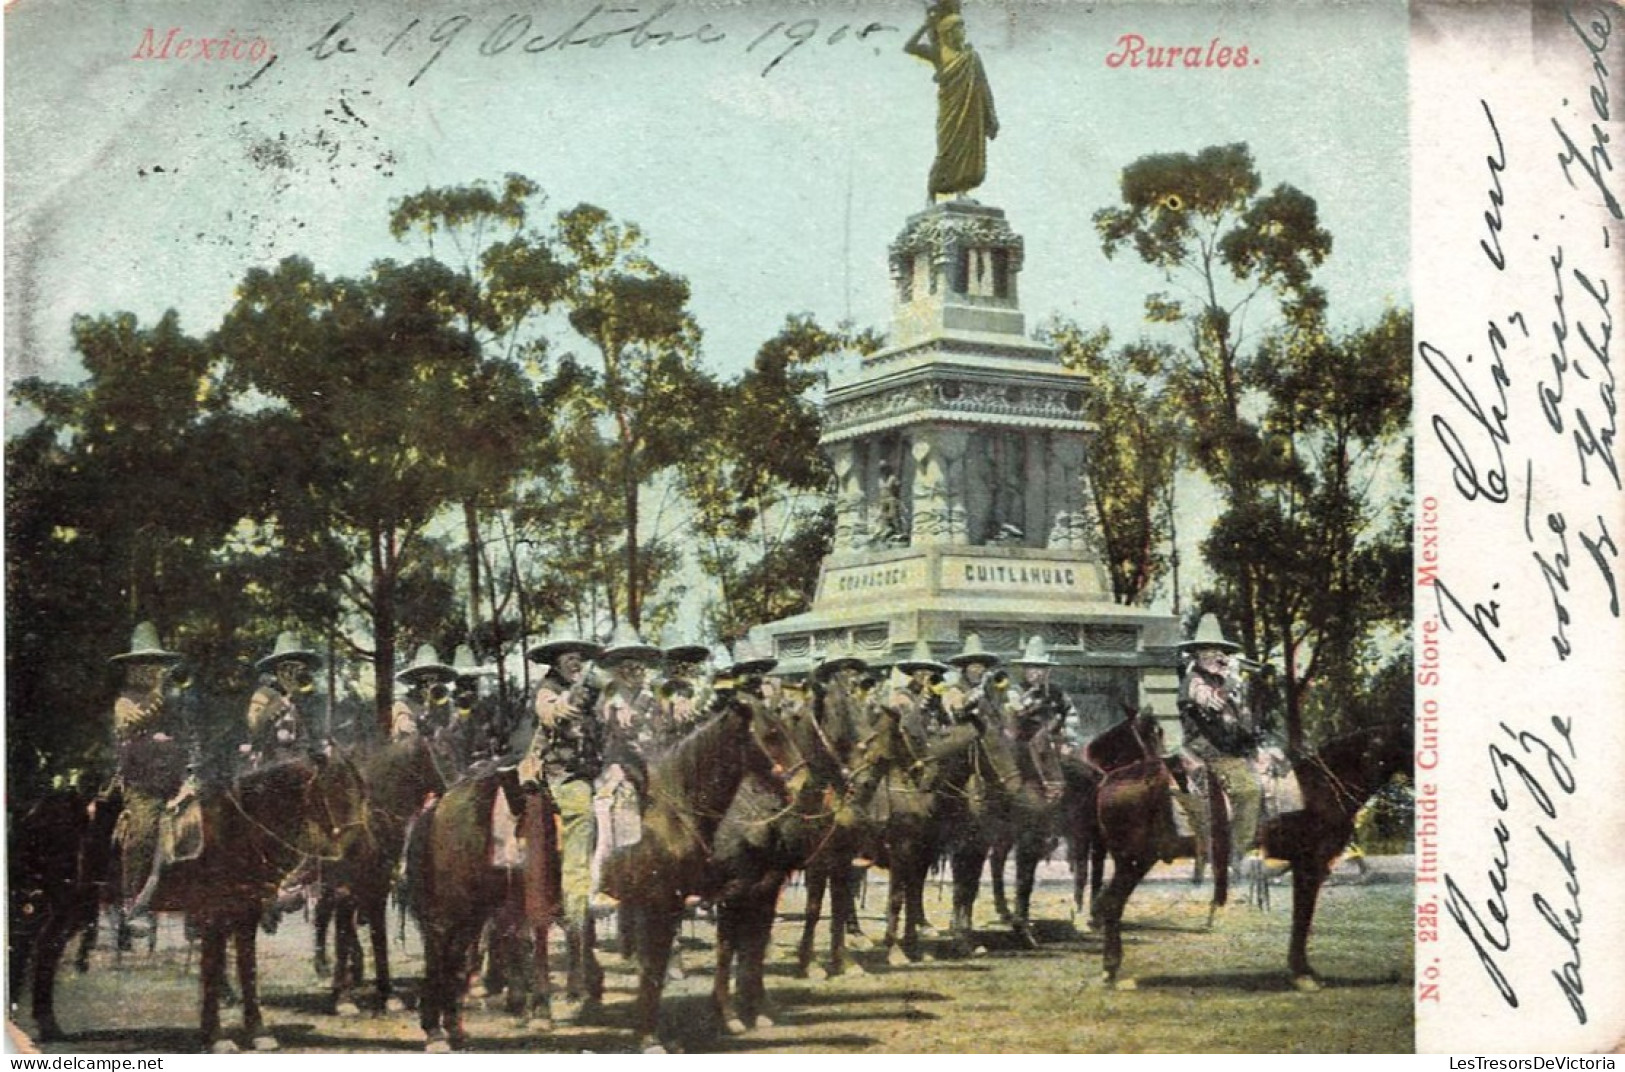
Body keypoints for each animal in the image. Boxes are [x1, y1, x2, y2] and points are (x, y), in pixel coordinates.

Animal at [1092, 721, 1410, 987]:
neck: (1321, 785)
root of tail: (1107, 781)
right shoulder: (1309, 864)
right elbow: (1302, 917)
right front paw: (1302, 973)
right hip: (1134, 861)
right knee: (1111, 904)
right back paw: (1110, 969)